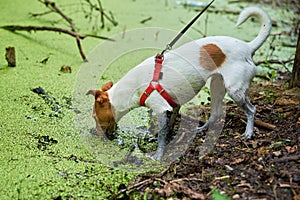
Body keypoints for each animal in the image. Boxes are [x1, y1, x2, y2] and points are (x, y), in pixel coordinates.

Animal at [86, 6, 272, 159]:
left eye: (94, 117)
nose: (93, 133)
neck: (133, 88)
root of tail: (247, 47)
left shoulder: (161, 109)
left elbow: (162, 134)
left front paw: (158, 155)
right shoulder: (173, 105)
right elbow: (167, 127)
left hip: (235, 90)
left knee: (251, 110)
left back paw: (248, 132)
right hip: (216, 86)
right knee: (216, 113)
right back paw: (202, 129)